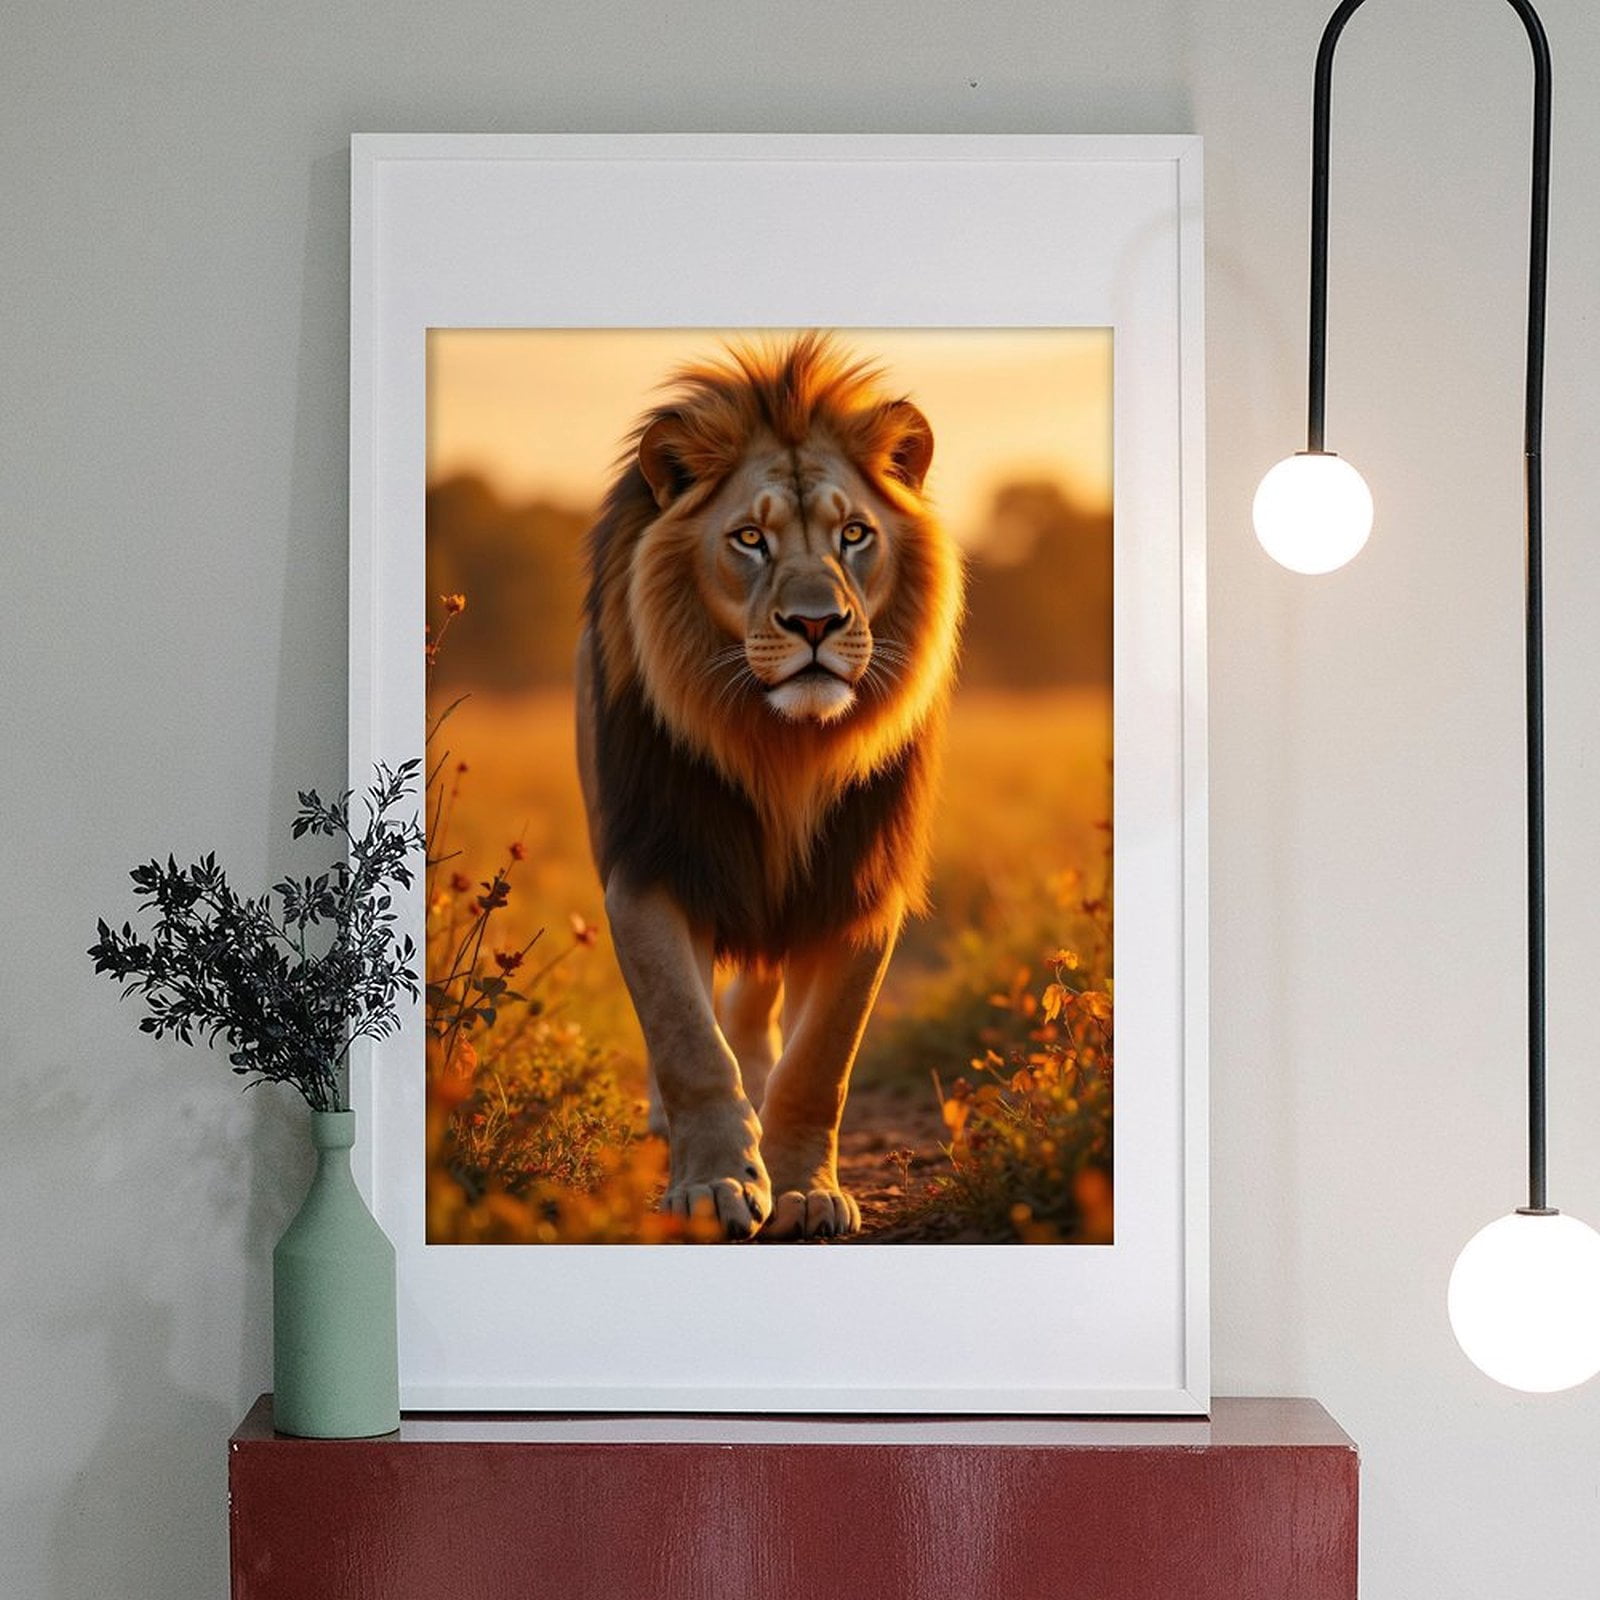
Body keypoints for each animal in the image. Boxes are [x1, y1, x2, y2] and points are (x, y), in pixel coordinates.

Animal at [575, 332, 965, 1240]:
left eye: (855, 534)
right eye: (749, 538)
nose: (816, 623)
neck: (784, 749)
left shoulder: (860, 885)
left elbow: (821, 1062)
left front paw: (803, 1188)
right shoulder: (650, 866)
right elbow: (686, 1039)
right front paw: (712, 1182)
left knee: (756, 1008)